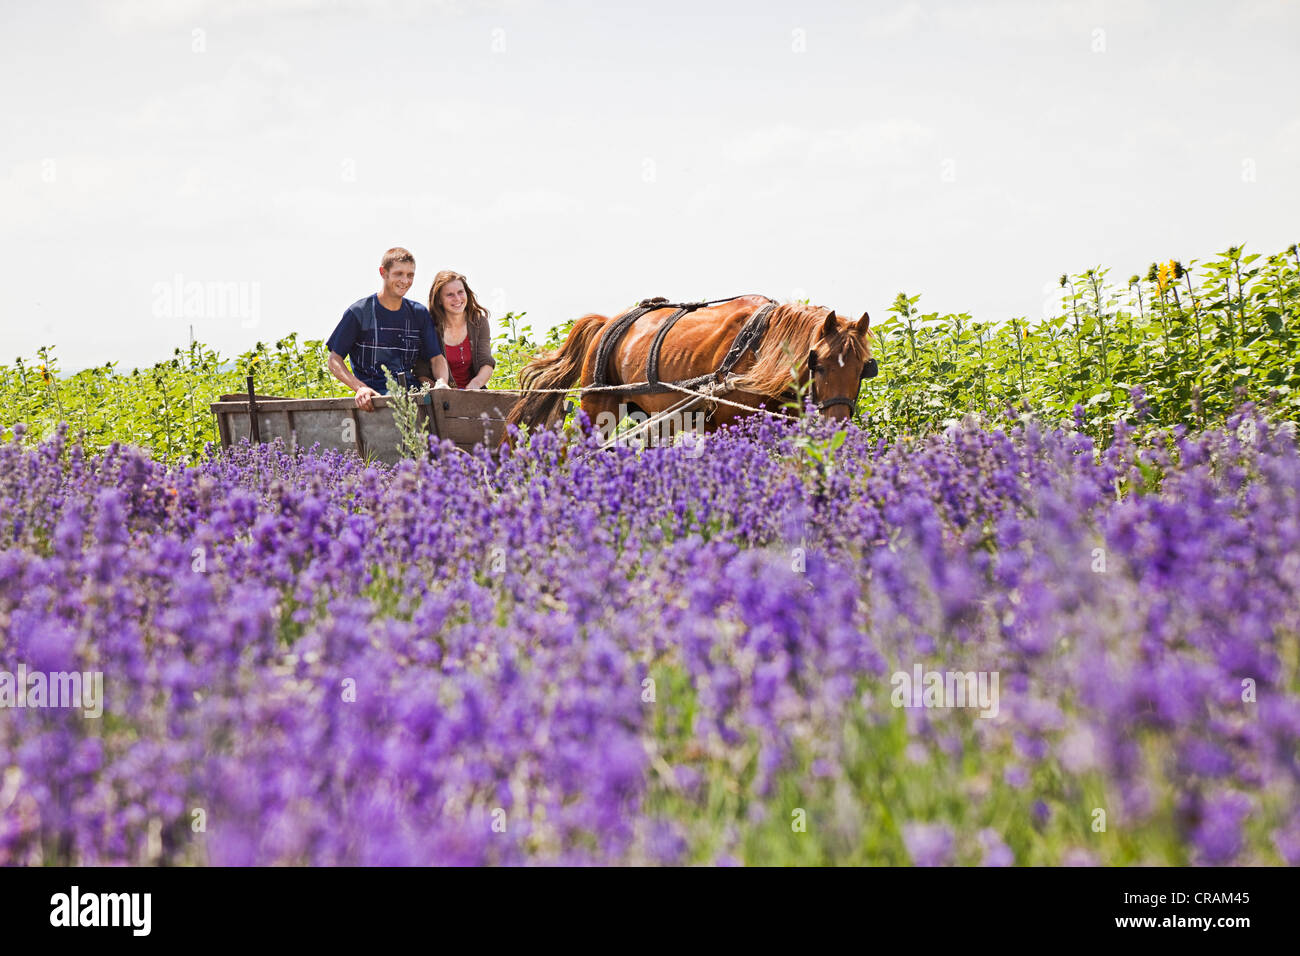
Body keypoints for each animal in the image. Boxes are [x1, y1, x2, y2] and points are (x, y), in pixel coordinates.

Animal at [501, 293, 878, 442]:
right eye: (819, 363)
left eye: (863, 369)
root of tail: (608, 322)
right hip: (598, 407)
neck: (759, 351)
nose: (838, 427)